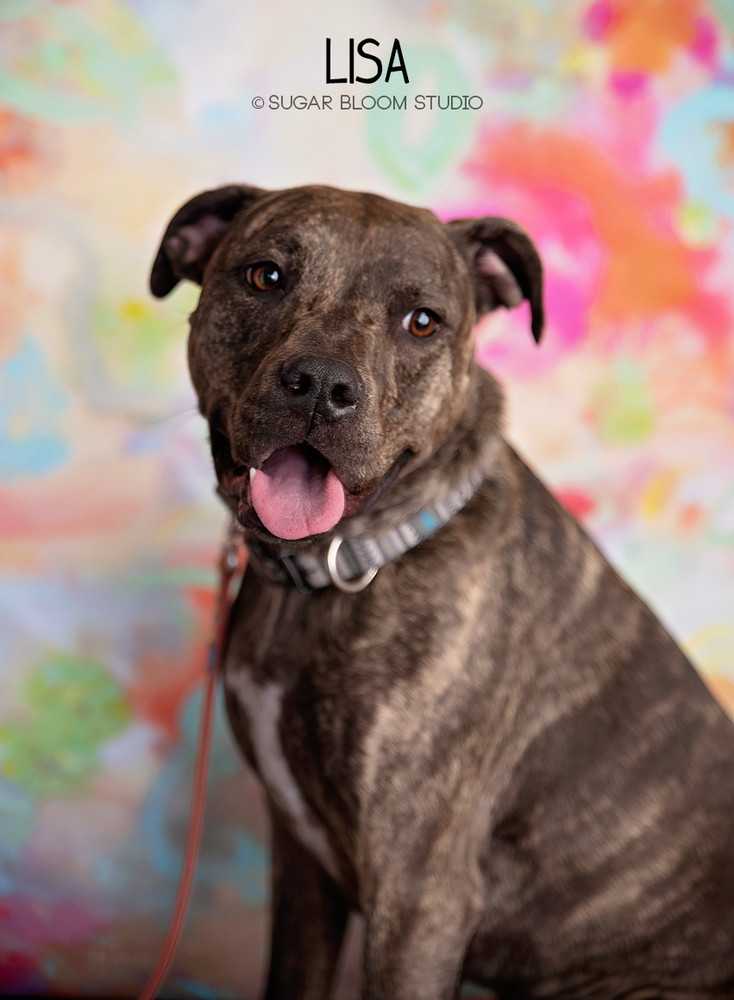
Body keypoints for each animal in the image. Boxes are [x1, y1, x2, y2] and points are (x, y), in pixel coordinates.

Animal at [150, 182, 734, 1000]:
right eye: (266, 277)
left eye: (423, 321)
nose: (322, 387)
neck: (331, 573)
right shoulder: (302, 867)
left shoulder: (419, 891)